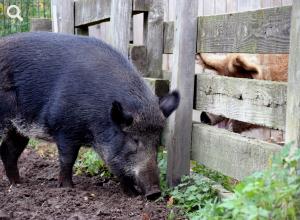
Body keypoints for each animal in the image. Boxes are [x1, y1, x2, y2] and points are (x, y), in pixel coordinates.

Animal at [0, 32, 179, 199]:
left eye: (157, 142)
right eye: (134, 140)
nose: (154, 192)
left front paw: (132, 195)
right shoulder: (64, 128)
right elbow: (68, 159)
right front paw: (68, 188)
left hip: (19, 129)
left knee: (8, 151)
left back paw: (18, 184)